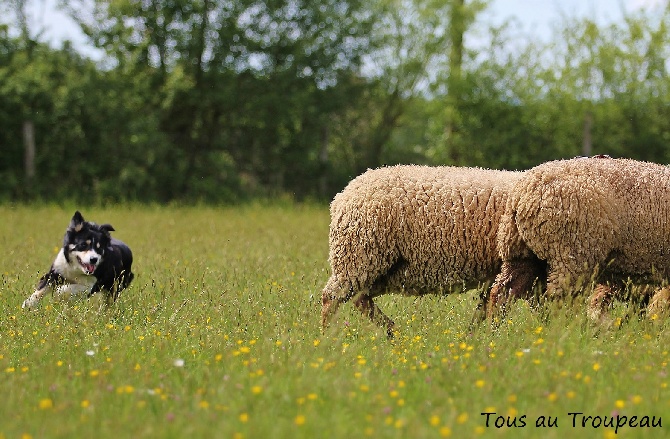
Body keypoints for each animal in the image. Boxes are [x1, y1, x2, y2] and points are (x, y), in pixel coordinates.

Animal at [320, 165, 544, 336]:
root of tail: (342, 197)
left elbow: (487, 305)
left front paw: (470, 337)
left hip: (371, 265)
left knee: (359, 297)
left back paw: (393, 332)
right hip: (359, 255)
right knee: (331, 298)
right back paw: (326, 339)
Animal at [490, 158, 670, 320]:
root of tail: (523, 195)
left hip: (519, 250)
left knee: (502, 292)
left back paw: (496, 329)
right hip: (570, 254)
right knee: (557, 300)